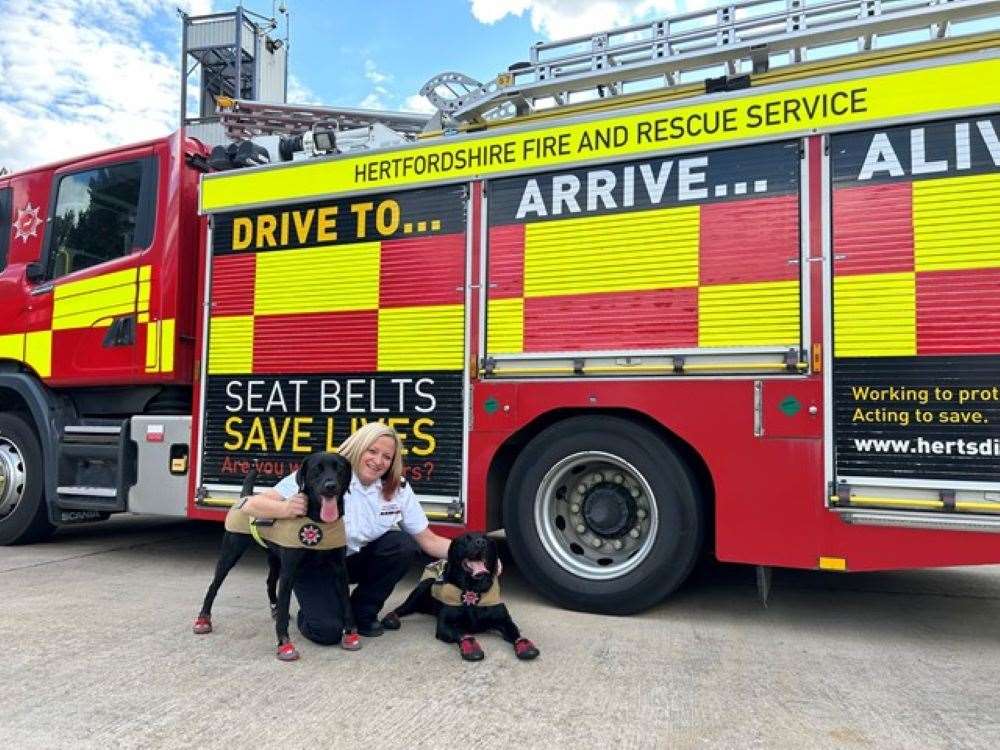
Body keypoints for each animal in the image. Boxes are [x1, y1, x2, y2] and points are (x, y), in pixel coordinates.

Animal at [193, 450, 358, 660]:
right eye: (316, 469)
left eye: (340, 469)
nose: (331, 486)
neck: (317, 520)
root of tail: (246, 497)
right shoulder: (289, 573)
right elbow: (284, 608)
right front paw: (284, 644)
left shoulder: (339, 569)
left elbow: (346, 603)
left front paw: (350, 634)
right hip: (230, 553)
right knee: (213, 586)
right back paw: (203, 619)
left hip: (274, 559)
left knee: (270, 582)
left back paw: (274, 606)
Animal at [384, 536, 540, 664]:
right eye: (465, 539)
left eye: (487, 539)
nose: (480, 542)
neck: (473, 589)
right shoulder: (445, 625)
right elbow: (464, 634)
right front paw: (471, 648)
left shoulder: (504, 620)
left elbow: (517, 634)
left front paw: (525, 646)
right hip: (421, 589)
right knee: (399, 609)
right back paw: (391, 618)